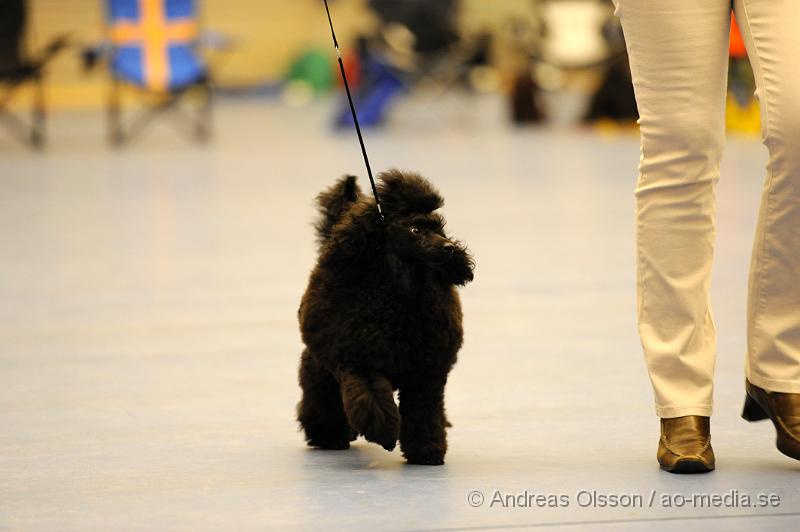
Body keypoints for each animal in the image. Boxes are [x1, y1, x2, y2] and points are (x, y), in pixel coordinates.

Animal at [296, 168, 472, 464]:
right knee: (322, 396)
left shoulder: (426, 375)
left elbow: (424, 414)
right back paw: (329, 436)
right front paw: (385, 434)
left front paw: (427, 451)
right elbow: (373, 403)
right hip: (321, 366)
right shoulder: (358, 365)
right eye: (415, 230)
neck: (398, 292)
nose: (449, 247)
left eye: (440, 227)